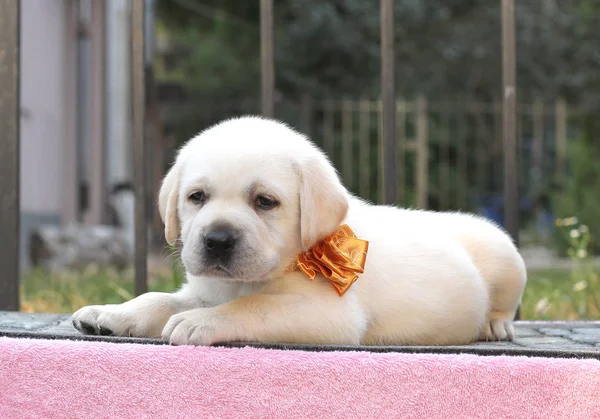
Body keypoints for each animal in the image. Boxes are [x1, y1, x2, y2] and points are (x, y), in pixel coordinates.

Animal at [72, 116, 528, 346]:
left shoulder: (329, 315)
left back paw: (496, 325)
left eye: (265, 202)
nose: (216, 240)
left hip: (505, 254)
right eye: (196, 197)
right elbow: (158, 298)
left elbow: (253, 307)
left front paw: (199, 322)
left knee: (506, 302)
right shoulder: (204, 289)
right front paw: (111, 313)